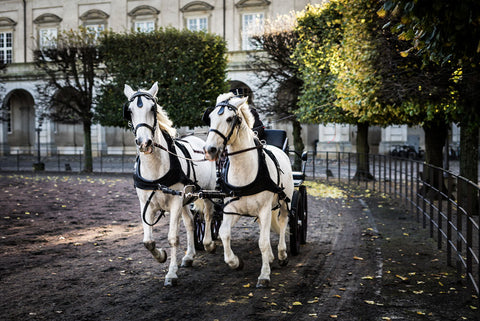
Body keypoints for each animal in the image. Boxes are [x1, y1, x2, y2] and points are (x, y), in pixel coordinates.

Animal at [124, 82, 216, 284]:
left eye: (153, 108)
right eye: (130, 111)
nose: (144, 143)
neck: (156, 171)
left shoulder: (174, 203)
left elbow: (173, 238)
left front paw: (171, 273)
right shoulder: (146, 204)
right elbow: (147, 241)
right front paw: (161, 256)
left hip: (207, 192)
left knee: (208, 215)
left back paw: (208, 243)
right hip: (185, 199)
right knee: (190, 223)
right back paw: (189, 256)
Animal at [202, 92, 292, 288]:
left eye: (229, 119)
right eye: (210, 118)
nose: (209, 149)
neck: (244, 170)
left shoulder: (265, 209)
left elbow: (263, 242)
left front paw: (264, 275)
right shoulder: (231, 209)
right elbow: (224, 233)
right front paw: (235, 262)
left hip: (284, 201)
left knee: (283, 223)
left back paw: (282, 253)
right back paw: (272, 257)